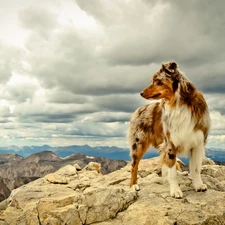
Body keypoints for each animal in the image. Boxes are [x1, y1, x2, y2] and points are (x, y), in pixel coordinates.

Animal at [127, 60, 210, 198]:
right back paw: (133, 185)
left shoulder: (197, 142)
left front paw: (198, 185)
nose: (141, 93)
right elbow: (172, 172)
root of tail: (138, 110)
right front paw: (175, 190)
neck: (179, 103)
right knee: (134, 165)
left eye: (157, 81)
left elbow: (196, 168)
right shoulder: (170, 143)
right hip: (139, 143)